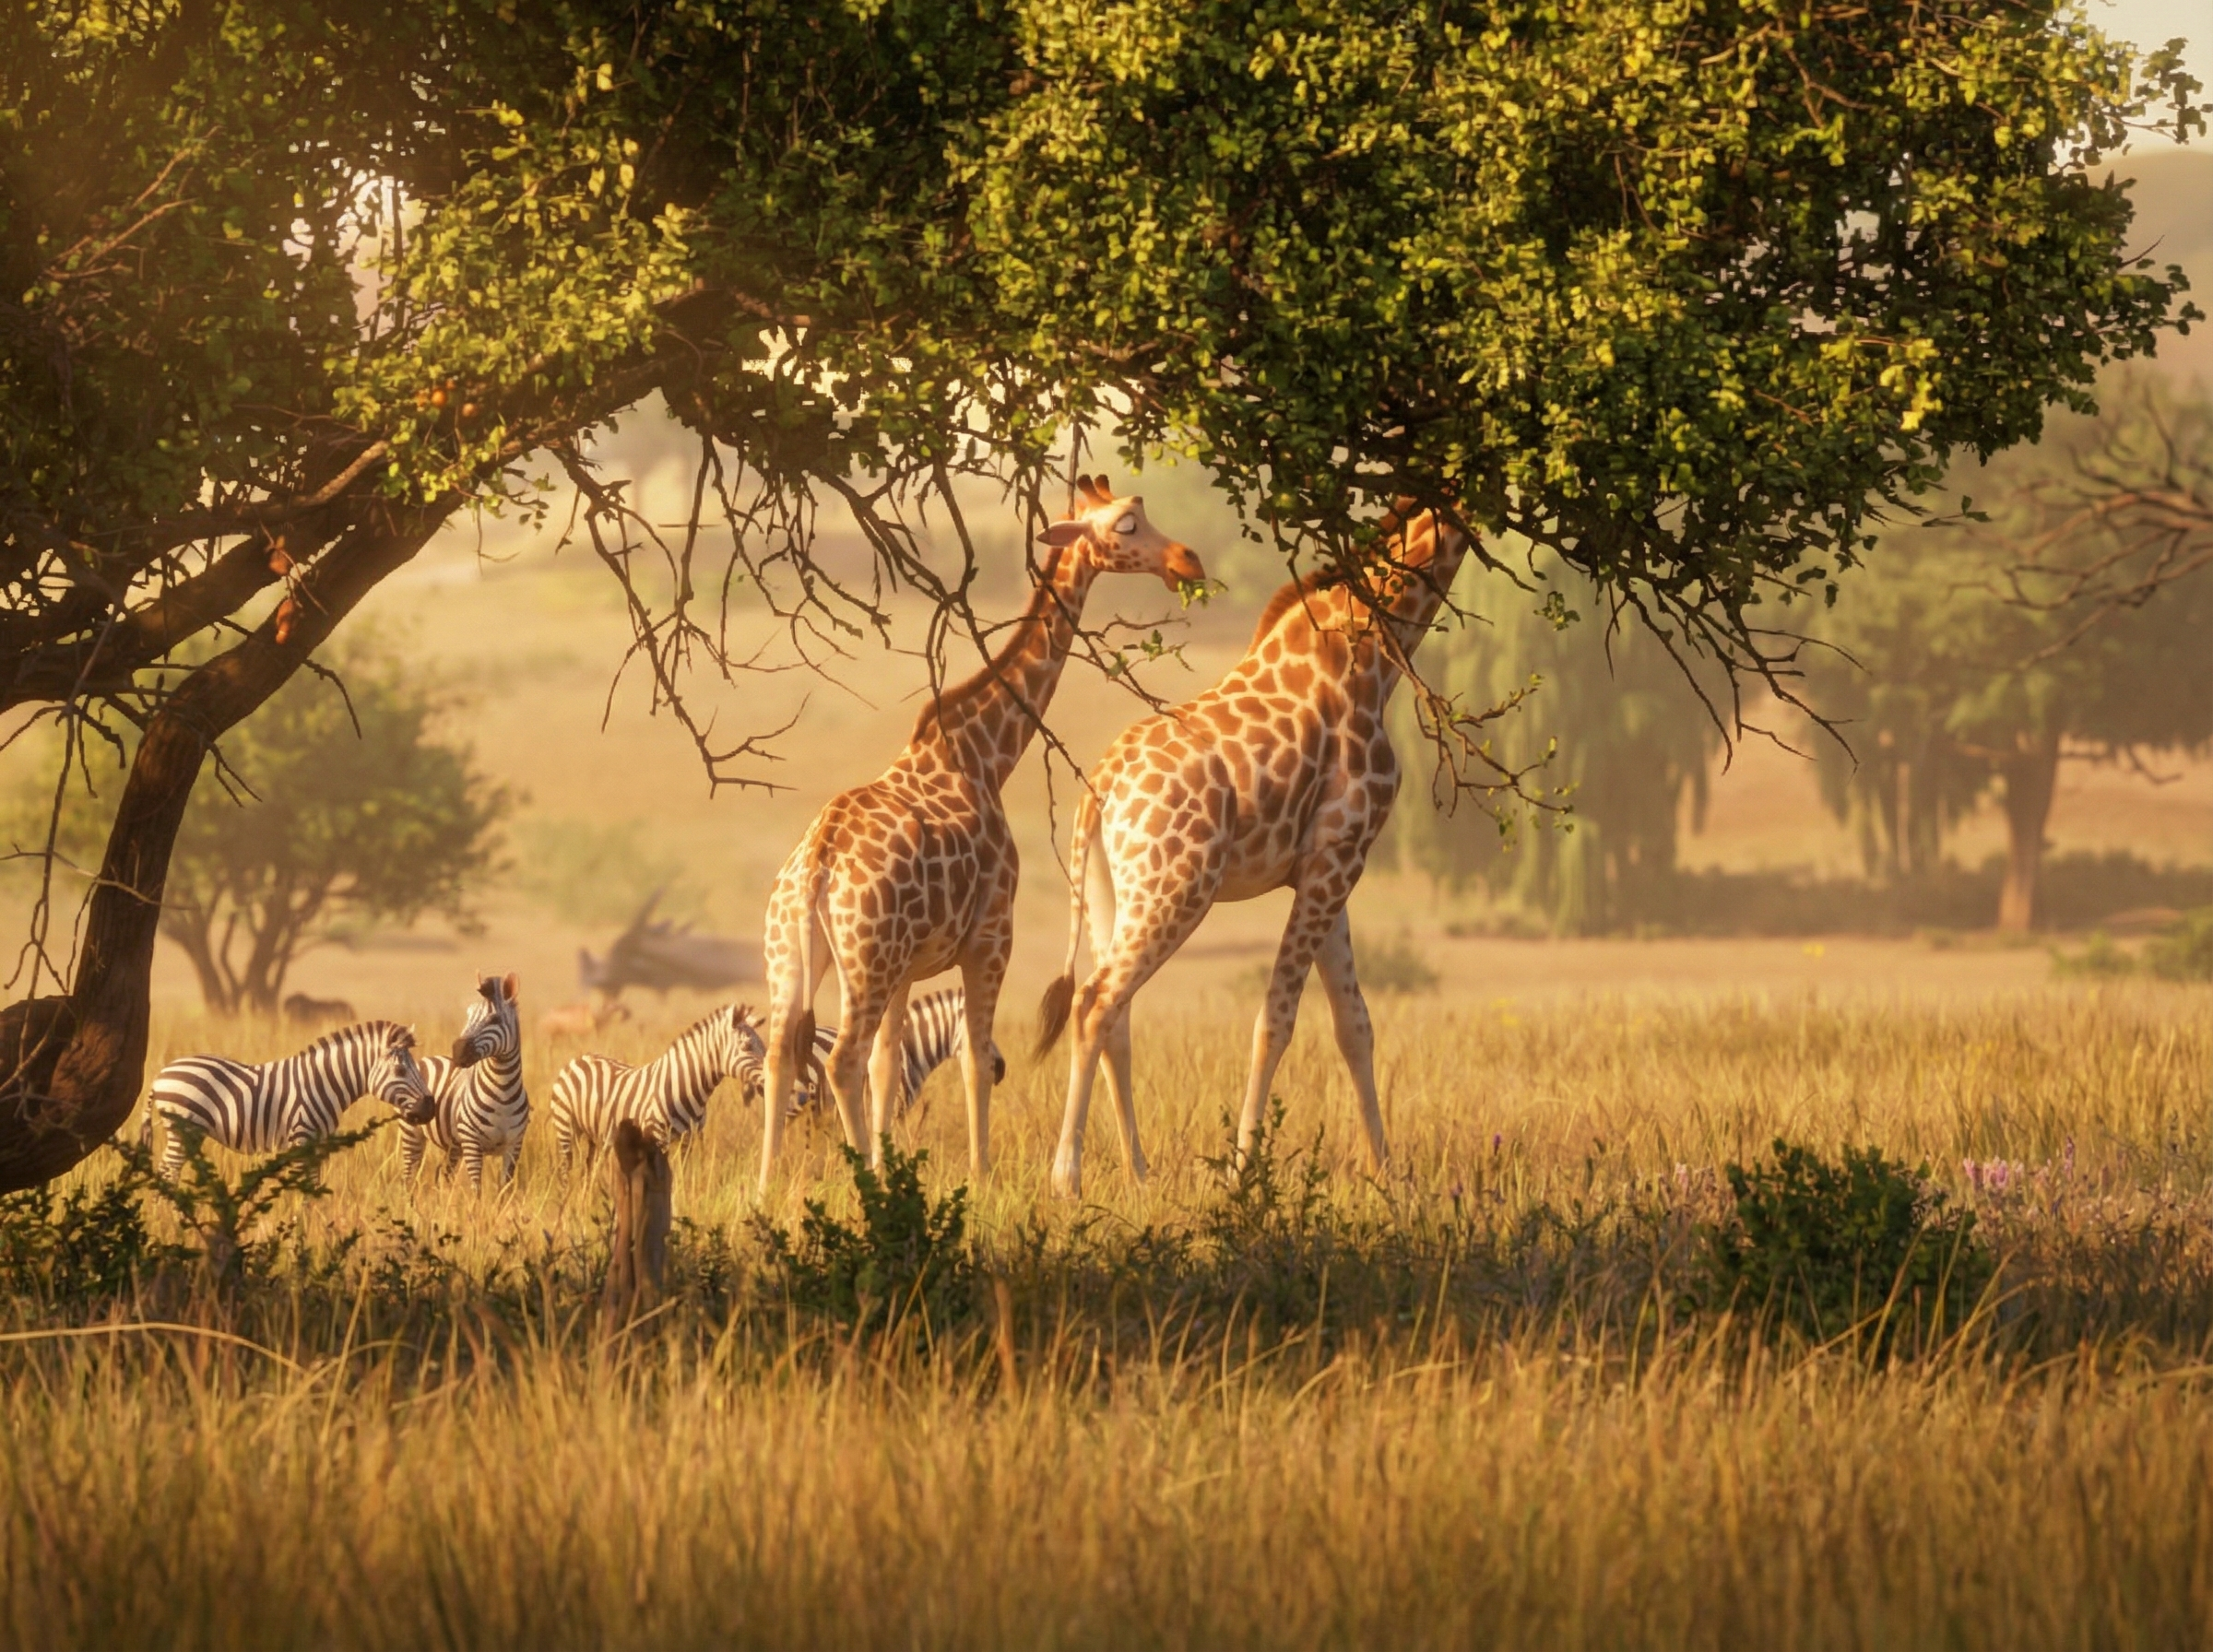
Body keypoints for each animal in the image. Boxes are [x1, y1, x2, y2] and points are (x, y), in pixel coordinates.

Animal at [756, 478, 1206, 1189]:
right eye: (1127, 524)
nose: (1187, 560)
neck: (985, 754)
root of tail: (818, 867)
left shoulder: (911, 964)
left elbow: (890, 1065)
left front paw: (894, 1167)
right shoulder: (992, 936)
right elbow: (975, 1057)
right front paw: (981, 1173)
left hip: (795, 957)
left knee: (781, 1056)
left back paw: (766, 1188)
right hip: (865, 959)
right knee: (839, 1059)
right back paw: (856, 1181)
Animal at [1035, 504, 1472, 1198]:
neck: (1369, 656)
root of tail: (1098, 790)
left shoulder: (1331, 862)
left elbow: (1355, 1024)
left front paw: (1386, 1173)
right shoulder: (1337, 858)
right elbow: (1277, 1018)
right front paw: (1244, 1172)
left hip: (1114, 891)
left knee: (1114, 1013)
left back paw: (1139, 1172)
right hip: (1177, 887)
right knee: (1096, 1000)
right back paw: (1067, 1177)